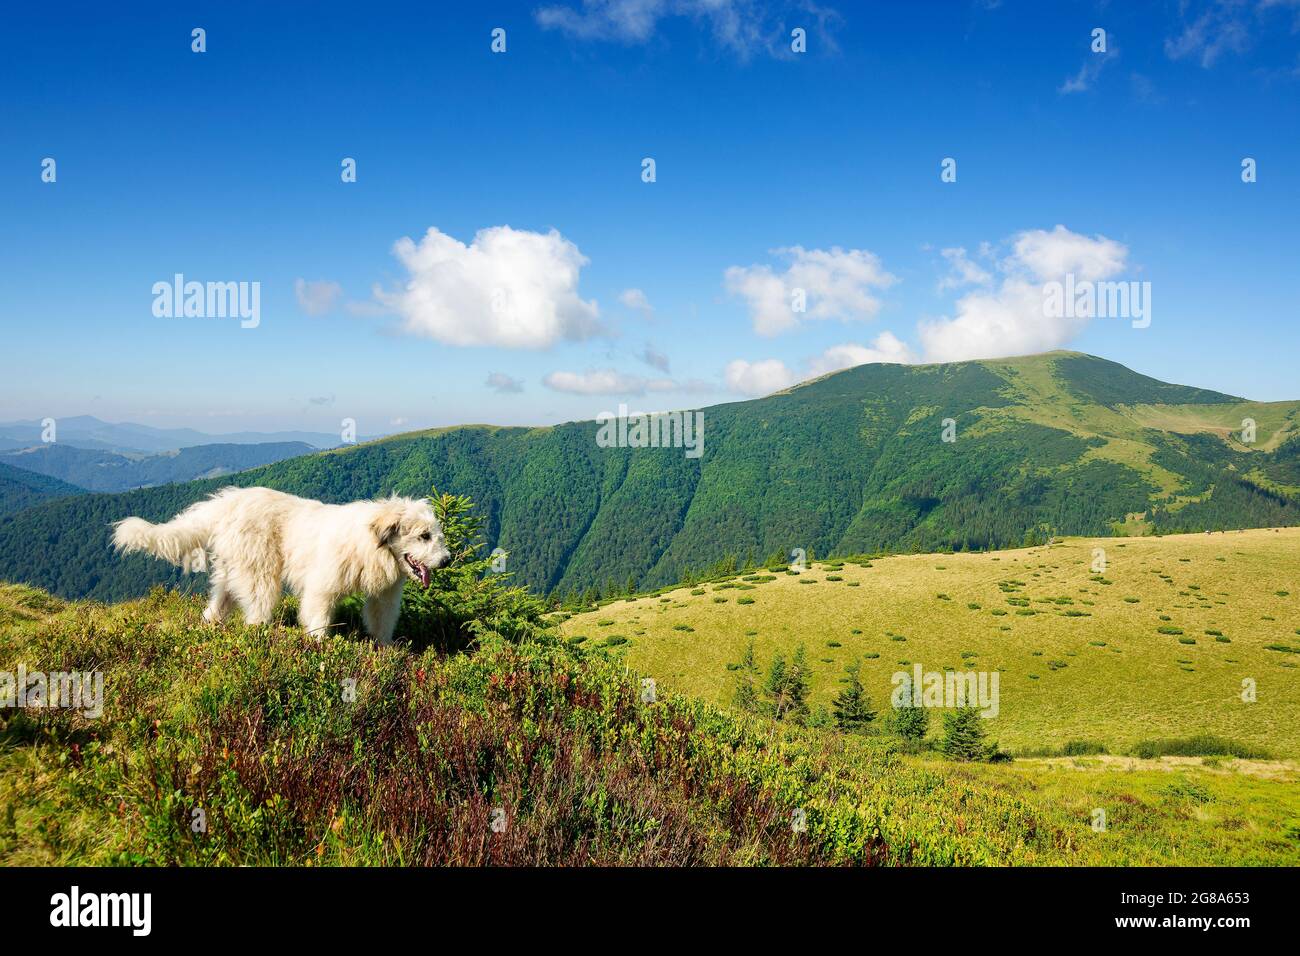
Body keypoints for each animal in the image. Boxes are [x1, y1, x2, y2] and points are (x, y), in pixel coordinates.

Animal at [113, 486, 457, 642]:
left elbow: (381, 622)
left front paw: (385, 651)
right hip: (260, 577)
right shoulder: (322, 588)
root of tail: (229, 501)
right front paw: (320, 648)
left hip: (231, 574)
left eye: (436, 535)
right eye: (424, 536)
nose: (446, 560)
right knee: (255, 612)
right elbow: (318, 621)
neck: (373, 544)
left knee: (216, 607)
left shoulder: (384, 597)